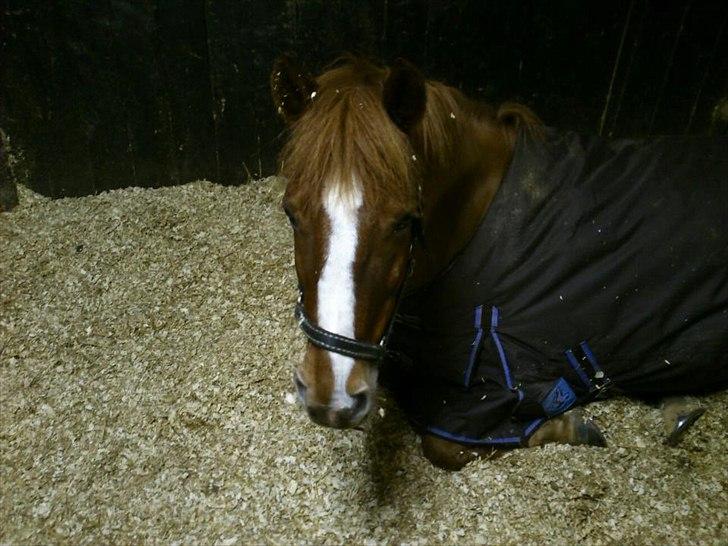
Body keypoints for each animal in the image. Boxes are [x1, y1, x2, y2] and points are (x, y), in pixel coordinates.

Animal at [271, 55, 728, 470]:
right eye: (291, 214)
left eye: (403, 221)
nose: (332, 398)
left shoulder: (508, 378)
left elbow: (446, 447)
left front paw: (572, 424)